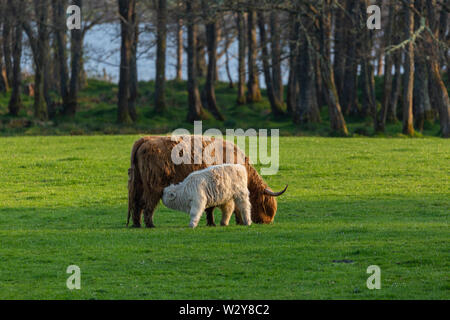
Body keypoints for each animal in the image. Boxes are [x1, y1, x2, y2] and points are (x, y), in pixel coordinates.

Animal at [126, 135, 288, 228]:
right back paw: (150, 224)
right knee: (148, 204)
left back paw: (137, 224)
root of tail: (145, 140)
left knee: (137, 204)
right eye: (266, 207)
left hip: (138, 184)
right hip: (153, 186)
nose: (268, 221)